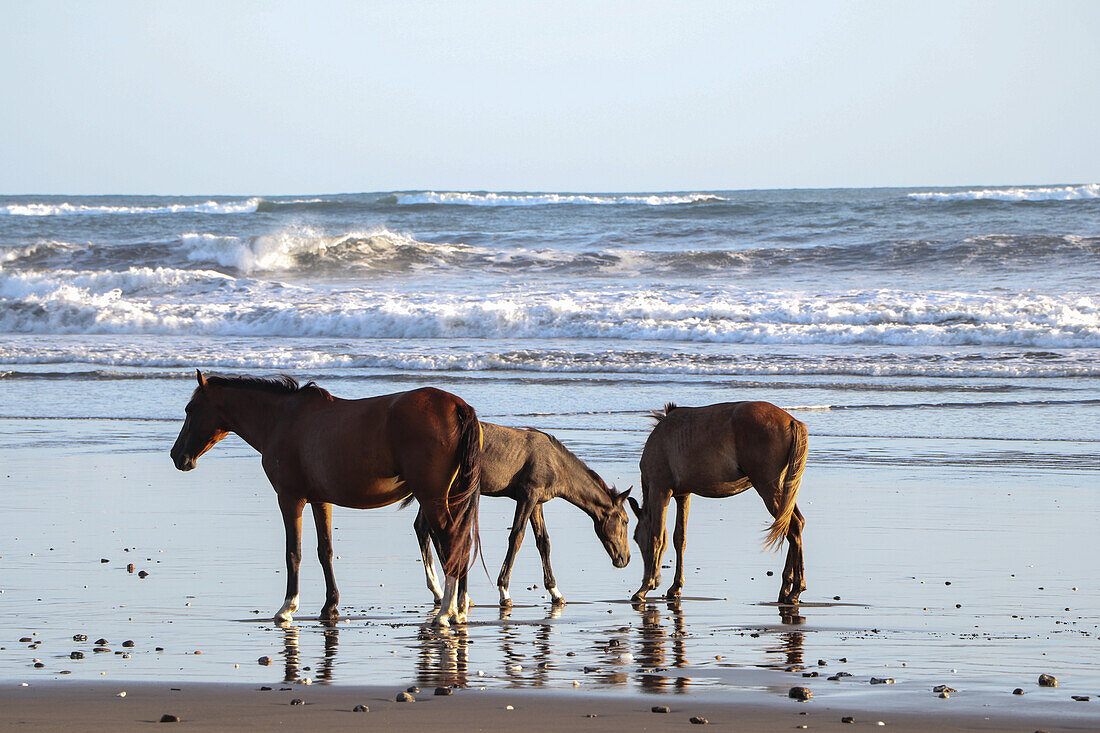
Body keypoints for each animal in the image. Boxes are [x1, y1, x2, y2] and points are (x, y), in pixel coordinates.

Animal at [169, 372, 479, 629]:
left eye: (189, 410)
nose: (177, 456)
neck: (282, 420)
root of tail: (457, 405)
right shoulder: (321, 501)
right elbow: (325, 551)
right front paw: (330, 606)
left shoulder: (290, 499)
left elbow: (293, 553)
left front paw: (288, 607)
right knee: (461, 542)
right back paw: (459, 610)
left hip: (433, 499)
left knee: (453, 542)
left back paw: (445, 613)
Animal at [411, 422, 629, 603]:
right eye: (626, 521)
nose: (625, 559)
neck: (555, 462)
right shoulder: (528, 495)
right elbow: (517, 537)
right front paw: (504, 590)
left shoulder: (537, 502)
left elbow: (543, 542)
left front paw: (555, 591)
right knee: (427, 529)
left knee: (425, 528)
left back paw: (443, 591)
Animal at [629, 402, 809, 603]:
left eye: (636, 538)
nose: (655, 580)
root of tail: (792, 421)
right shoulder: (683, 495)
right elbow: (679, 539)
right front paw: (675, 587)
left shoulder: (660, 490)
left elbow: (657, 537)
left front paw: (645, 587)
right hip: (785, 491)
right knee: (795, 525)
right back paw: (787, 588)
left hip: (768, 489)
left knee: (792, 527)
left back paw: (795, 589)